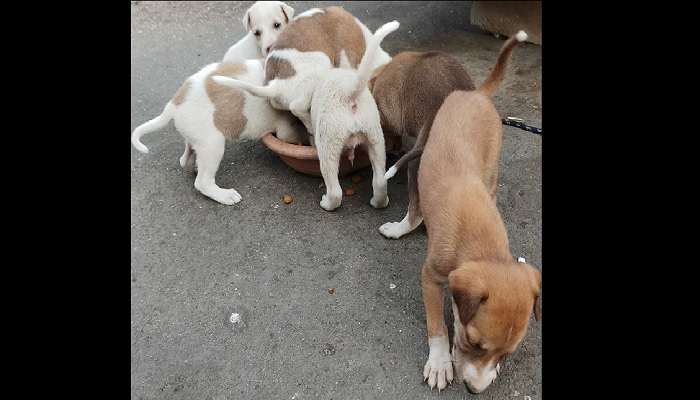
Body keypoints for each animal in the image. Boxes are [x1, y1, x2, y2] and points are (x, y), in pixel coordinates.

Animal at [132, 59, 306, 206]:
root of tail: (174, 104)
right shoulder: (285, 128)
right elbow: (294, 135)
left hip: (197, 138)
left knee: (185, 158)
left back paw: (193, 165)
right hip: (212, 145)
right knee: (202, 182)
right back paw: (224, 195)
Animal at [416, 31, 540, 394]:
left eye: (507, 354)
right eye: (473, 343)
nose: (474, 390)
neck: (483, 245)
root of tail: (476, 94)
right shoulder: (430, 276)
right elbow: (437, 327)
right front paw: (440, 363)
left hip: (493, 167)